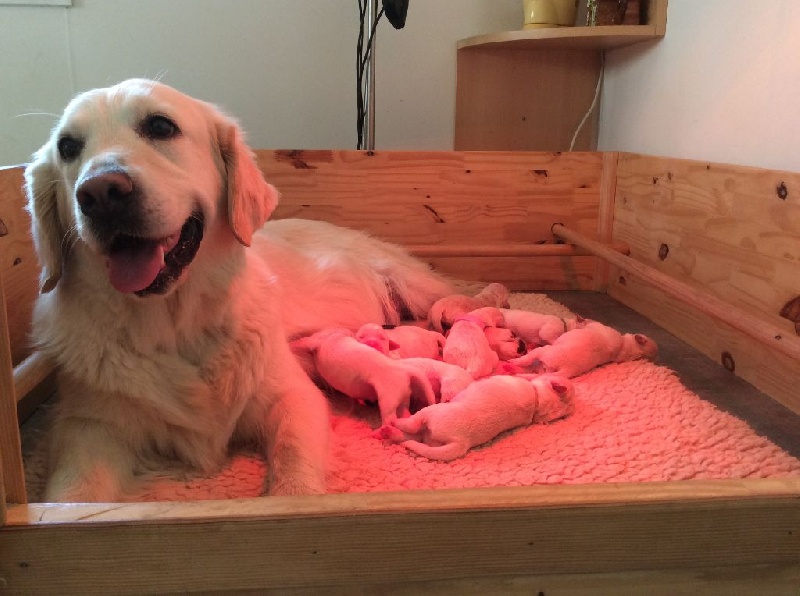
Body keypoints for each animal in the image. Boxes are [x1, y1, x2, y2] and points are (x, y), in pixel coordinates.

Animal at [292, 330, 434, 424]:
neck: (335, 337)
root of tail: (404, 369)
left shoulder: (317, 340)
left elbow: (305, 341)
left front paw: (291, 343)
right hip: (403, 395)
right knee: (404, 412)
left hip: (388, 397)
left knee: (390, 418)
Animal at [382, 374, 576, 464]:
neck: (537, 401)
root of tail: (461, 442)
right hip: (430, 440)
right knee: (409, 437)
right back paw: (390, 431)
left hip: (432, 413)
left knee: (412, 425)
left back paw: (395, 422)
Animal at [510, 322, 660, 378]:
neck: (625, 346)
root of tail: (566, 369)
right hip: (546, 369)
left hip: (545, 352)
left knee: (527, 359)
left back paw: (514, 362)